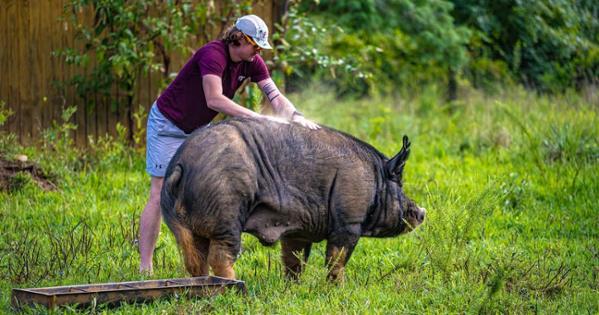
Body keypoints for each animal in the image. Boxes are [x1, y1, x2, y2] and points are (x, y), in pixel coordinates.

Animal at [161, 118, 426, 282]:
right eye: (400, 184)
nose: (422, 212)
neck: (377, 178)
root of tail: (181, 164)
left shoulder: (298, 230)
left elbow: (294, 260)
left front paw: (292, 287)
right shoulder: (349, 222)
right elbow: (336, 260)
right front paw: (337, 288)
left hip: (180, 222)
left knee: (194, 258)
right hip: (226, 209)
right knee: (221, 254)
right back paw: (234, 286)